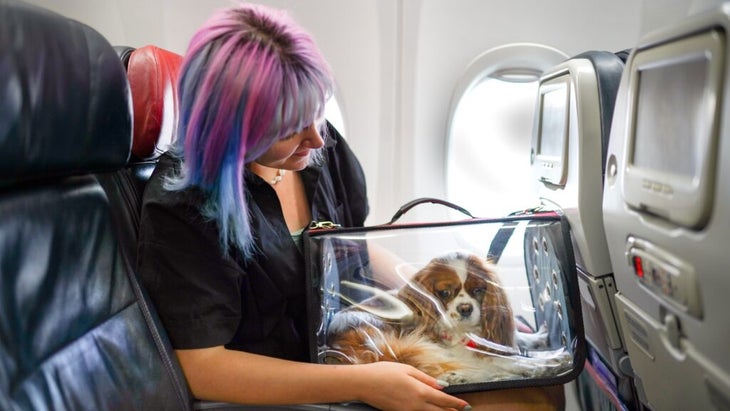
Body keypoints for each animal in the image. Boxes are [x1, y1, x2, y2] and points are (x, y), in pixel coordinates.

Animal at [322, 253, 568, 384]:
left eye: (478, 290)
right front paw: (547, 362)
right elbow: (507, 360)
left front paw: (538, 339)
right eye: (445, 292)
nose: (466, 308)